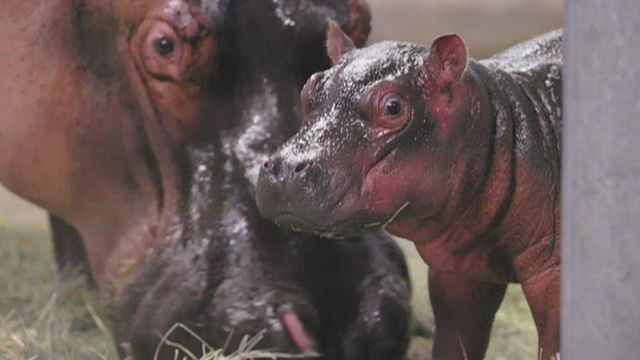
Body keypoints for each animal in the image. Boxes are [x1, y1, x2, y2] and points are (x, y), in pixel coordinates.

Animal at [258, 22, 564, 360]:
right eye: (309, 88)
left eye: (393, 107)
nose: (285, 166)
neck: (504, 121)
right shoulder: (458, 270)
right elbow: (456, 339)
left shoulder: (554, 274)